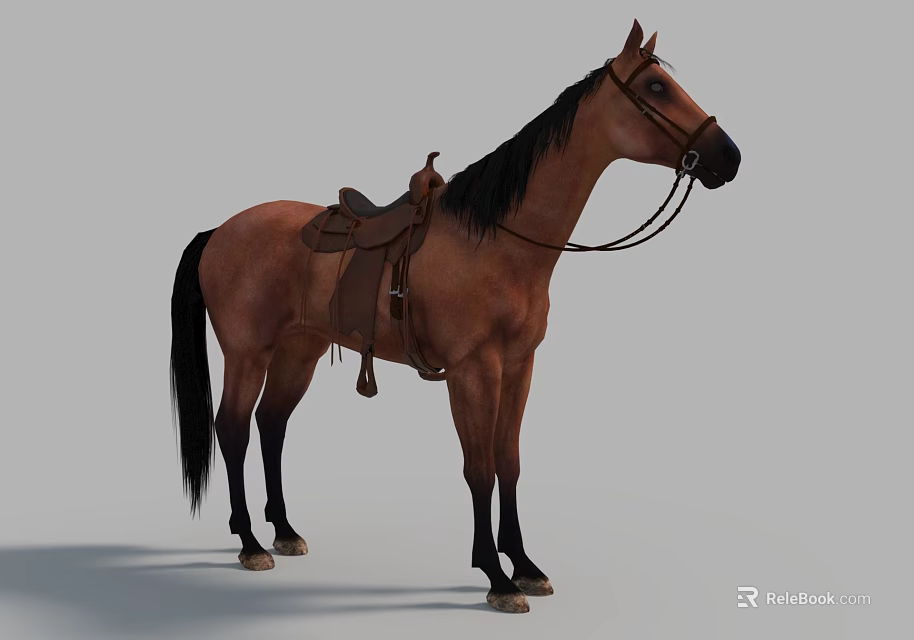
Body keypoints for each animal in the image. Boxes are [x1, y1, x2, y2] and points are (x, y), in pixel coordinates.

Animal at [168, 19, 741, 614]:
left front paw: (525, 566)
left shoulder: (519, 367)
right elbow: (479, 469)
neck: (495, 241)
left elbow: (509, 462)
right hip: (246, 354)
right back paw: (251, 542)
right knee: (234, 429)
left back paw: (283, 531)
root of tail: (220, 230)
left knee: (272, 424)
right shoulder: (473, 370)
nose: (729, 156)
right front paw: (496, 576)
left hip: (297, 352)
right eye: (655, 87)